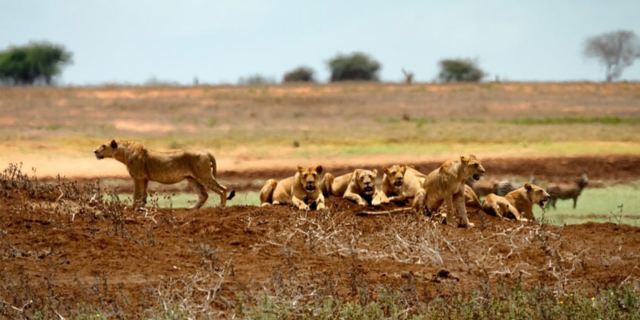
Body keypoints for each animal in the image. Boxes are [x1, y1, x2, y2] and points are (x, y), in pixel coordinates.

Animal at [92, 139, 235, 209]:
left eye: (103, 146)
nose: (94, 151)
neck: (123, 152)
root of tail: (206, 152)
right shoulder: (145, 178)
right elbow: (143, 195)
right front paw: (141, 207)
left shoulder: (137, 177)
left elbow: (136, 194)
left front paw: (132, 208)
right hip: (192, 178)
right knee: (203, 195)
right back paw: (192, 208)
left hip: (203, 175)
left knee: (222, 189)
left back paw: (221, 208)